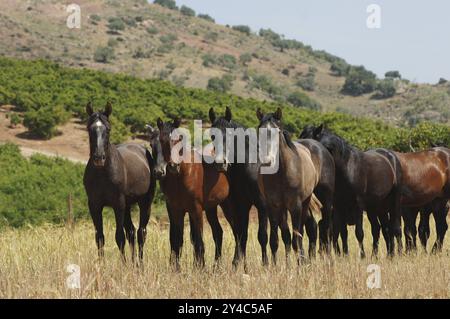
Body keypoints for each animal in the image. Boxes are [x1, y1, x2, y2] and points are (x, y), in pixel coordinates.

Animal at [83, 103, 156, 264]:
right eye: (89, 128)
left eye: (108, 129)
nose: (99, 157)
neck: (102, 174)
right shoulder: (94, 206)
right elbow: (99, 237)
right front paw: (102, 266)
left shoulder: (118, 205)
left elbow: (119, 237)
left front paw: (123, 266)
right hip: (127, 206)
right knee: (131, 232)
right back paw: (134, 263)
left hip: (145, 203)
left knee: (141, 232)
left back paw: (140, 264)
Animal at [149, 117, 234, 270]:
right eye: (153, 144)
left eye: (178, 139)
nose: (161, 171)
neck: (182, 175)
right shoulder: (175, 210)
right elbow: (176, 239)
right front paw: (175, 268)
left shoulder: (196, 209)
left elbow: (198, 240)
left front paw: (199, 267)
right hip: (211, 209)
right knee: (218, 232)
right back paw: (216, 266)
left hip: (228, 207)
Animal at [209, 107, 268, 268]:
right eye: (212, 136)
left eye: (230, 134)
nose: (220, 163)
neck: (251, 166)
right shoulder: (242, 205)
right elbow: (242, 234)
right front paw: (239, 264)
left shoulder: (262, 206)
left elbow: (262, 235)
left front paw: (266, 264)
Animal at [255, 109, 322, 264]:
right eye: (259, 130)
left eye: (277, 132)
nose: (267, 161)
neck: (281, 173)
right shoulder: (273, 206)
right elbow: (275, 240)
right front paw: (275, 266)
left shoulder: (295, 206)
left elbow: (296, 238)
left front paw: (300, 264)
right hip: (283, 208)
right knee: (286, 235)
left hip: (304, 203)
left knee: (302, 231)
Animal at [304, 124, 402, 258]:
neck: (347, 167)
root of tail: (391, 157)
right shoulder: (339, 206)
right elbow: (342, 232)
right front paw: (345, 255)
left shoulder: (358, 206)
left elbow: (359, 233)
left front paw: (362, 256)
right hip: (376, 208)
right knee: (380, 229)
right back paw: (383, 254)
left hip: (393, 204)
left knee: (395, 228)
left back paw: (398, 253)